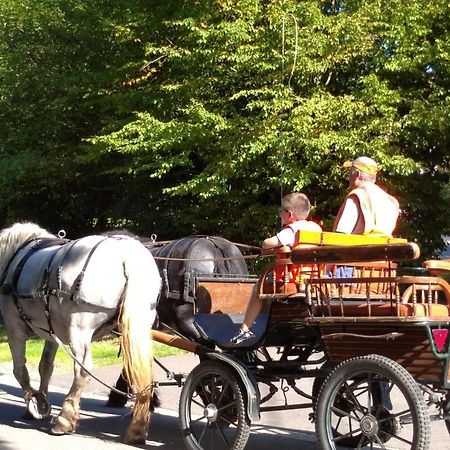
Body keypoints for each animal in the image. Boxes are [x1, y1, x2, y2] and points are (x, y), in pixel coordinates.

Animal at [0, 221, 161, 442]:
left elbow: (20, 371)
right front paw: (41, 401)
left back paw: (64, 419)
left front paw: (33, 404)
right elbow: (45, 367)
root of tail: (126, 254)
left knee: (82, 369)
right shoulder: (51, 333)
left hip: (80, 329)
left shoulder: (14, 329)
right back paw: (138, 427)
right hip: (140, 324)